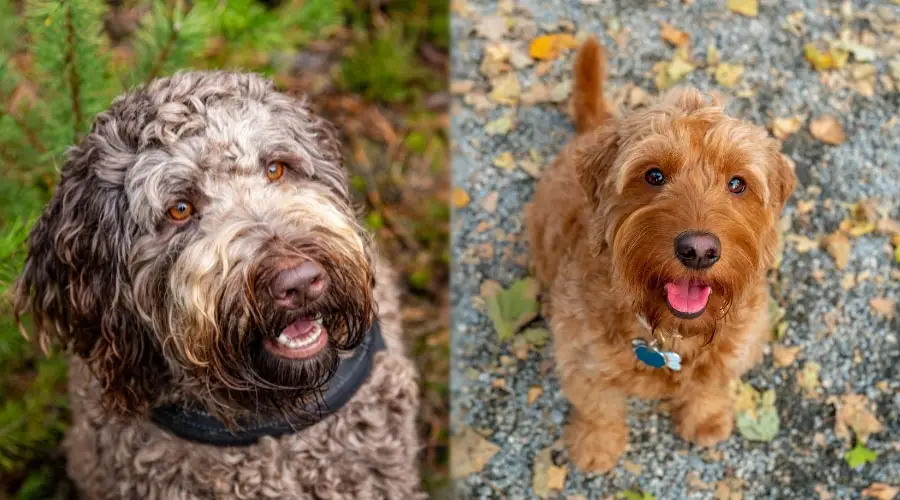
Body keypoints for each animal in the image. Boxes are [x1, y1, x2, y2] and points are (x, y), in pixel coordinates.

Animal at [528, 39, 796, 472]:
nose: (698, 251)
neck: (672, 334)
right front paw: (596, 445)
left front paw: (705, 419)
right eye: (653, 175)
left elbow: (709, 386)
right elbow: (597, 407)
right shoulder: (581, 358)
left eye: (737, 183)